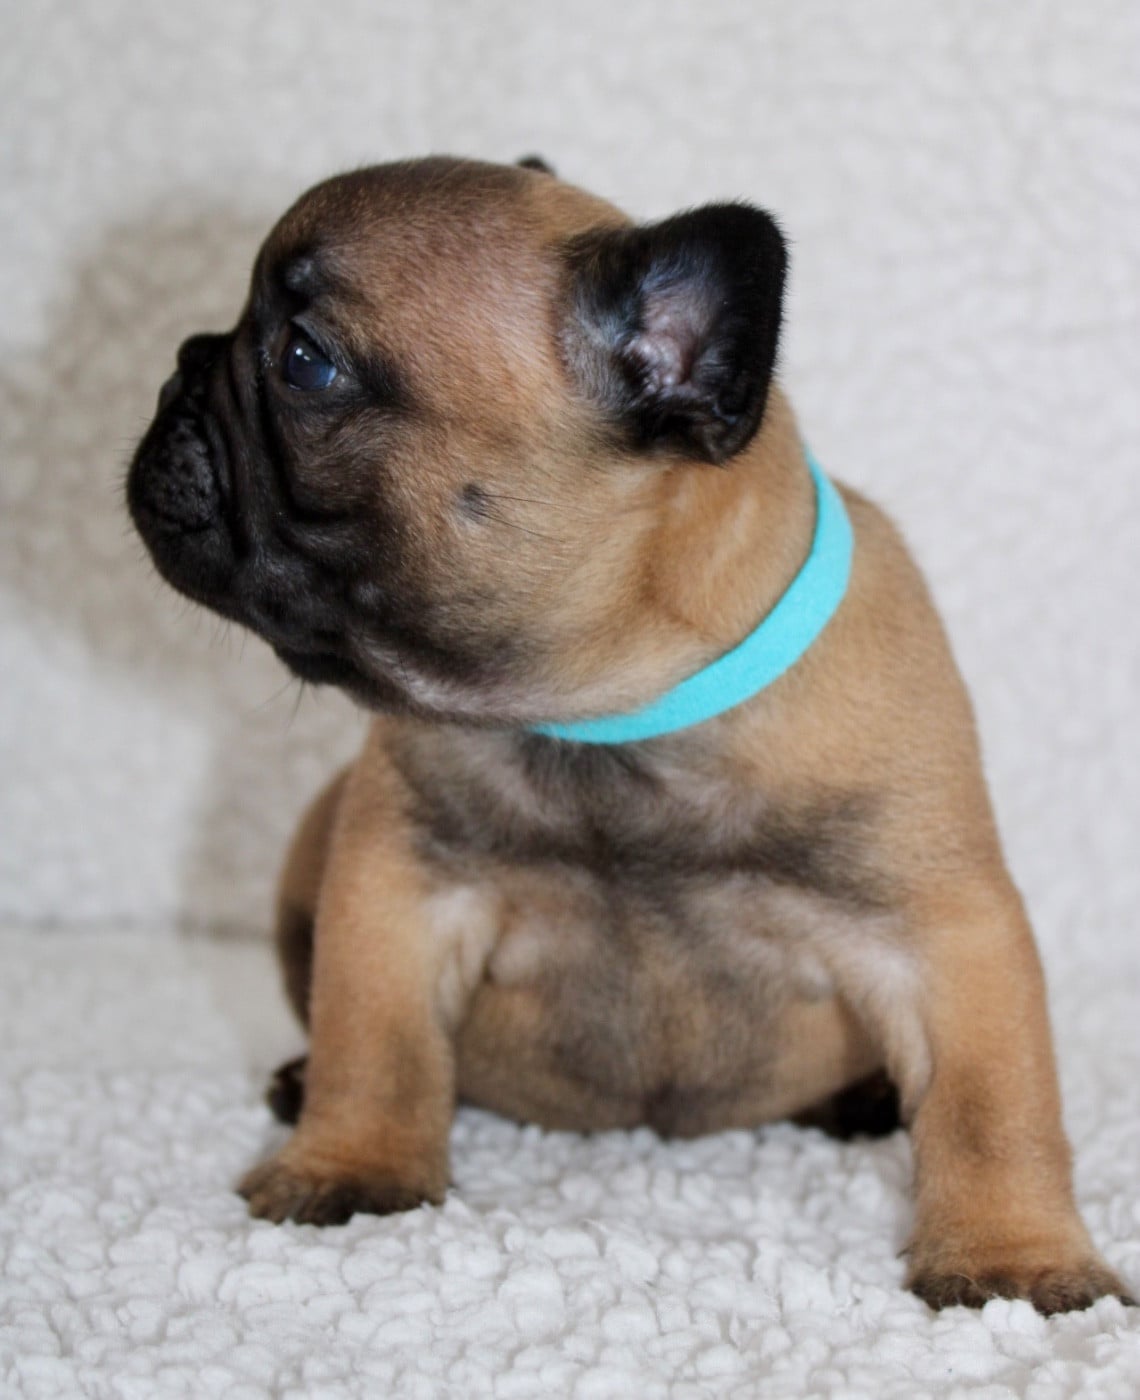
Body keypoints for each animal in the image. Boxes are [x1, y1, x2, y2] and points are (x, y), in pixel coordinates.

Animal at [127, 155, 1131, 1313]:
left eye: (304, 361)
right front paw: (352, 1164)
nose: (178, 367)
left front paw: (1015, 1258)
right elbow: (372, 1041)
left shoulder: (945, 931)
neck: (607, 716)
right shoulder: (396, 888)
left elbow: (993, 1103)